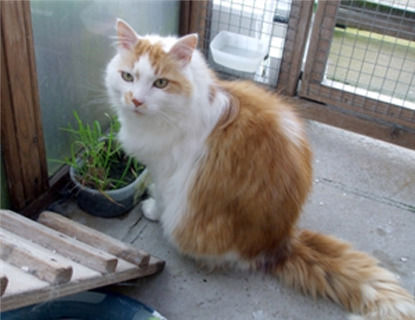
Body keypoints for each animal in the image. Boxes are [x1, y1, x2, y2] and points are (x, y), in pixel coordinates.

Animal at [107, 18, 415, 320]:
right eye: (128, 77)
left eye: (160, 83)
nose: (135, 100)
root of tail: (278, 243)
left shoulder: (166, 171)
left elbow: (160, 197)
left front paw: (151, 210)